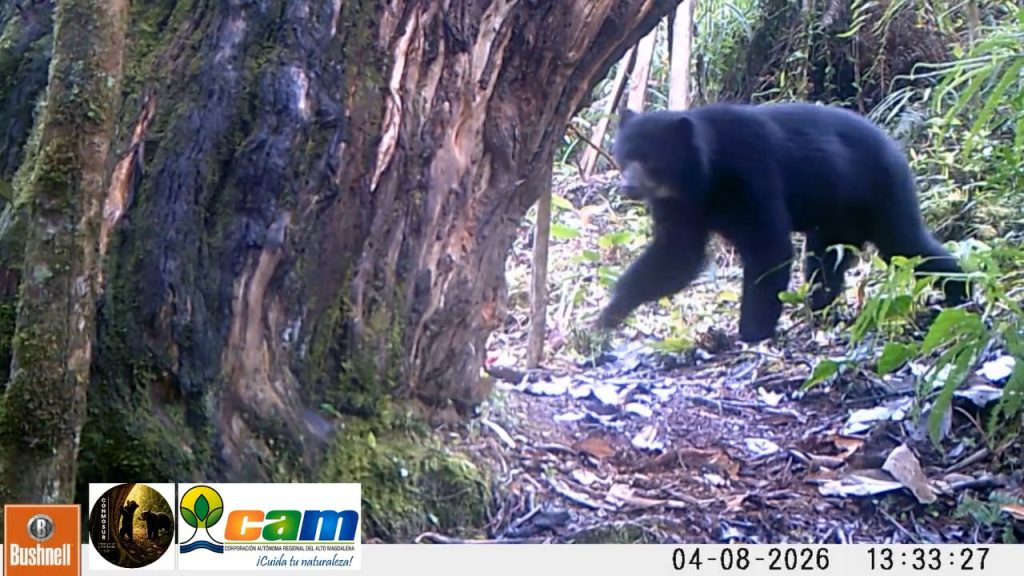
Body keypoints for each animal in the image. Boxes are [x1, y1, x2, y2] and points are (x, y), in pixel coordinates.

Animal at [597, 102, 967, 342]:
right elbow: (675, 257)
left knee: (906, 245)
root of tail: (895, 147)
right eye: (624, 156)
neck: (702, 178)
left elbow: (768, 249)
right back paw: (819, 309)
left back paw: (960, 289)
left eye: (650, 161)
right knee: (825, 261)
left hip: (881, 192)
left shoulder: (751, 174)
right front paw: (608, 315)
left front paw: (751, 331)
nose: (627, 187)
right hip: (837, 217)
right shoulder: (681, 207)